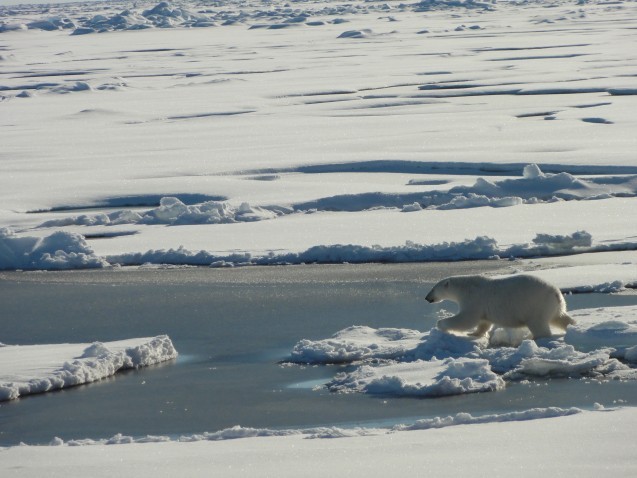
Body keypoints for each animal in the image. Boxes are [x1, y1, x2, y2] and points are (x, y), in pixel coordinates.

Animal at [424, 272, 572, 340]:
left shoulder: (473, 299)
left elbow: (466, 319)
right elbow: (484, 322)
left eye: (433, 289)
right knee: (559, 318)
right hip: (554, 306)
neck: (465, 287)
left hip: (535, 304)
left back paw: (534, 337)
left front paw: (441, 324)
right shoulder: (483, 306)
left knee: (538, 323)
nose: (426, 298)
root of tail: (556, 293)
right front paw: (474, 333)